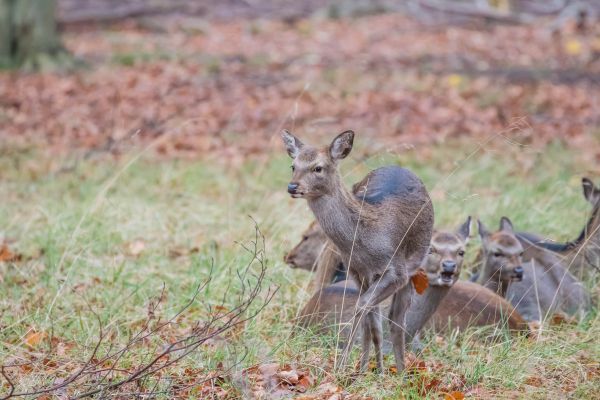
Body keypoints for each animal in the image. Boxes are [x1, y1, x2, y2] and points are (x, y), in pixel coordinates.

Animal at [278, 130, 434, 372]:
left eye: (318, 168)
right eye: (293, 165)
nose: (292, 187)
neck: (366, 242)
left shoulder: (396, 271)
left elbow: (364, 307)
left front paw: (340, 366)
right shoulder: (356, 271)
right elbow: (370, 319)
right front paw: (362, 372)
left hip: (414, 268)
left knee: (396, 319)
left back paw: (401, 372)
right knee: (378, 317)